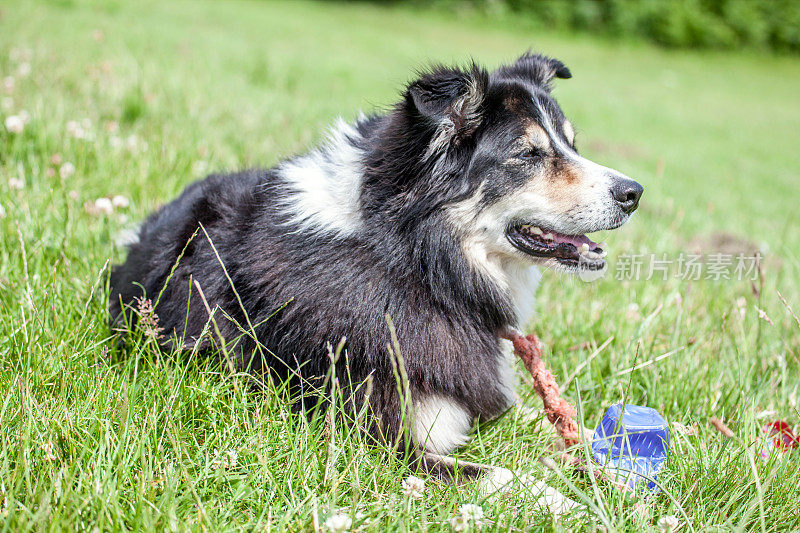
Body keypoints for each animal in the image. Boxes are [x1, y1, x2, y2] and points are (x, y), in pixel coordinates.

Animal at [108, 54, 644, 512]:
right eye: (527, 154)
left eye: (571, 143)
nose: (634, 193)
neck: (415, 263)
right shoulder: (375, 440)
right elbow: (504, 473)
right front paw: (570, 503)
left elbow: (560, 426)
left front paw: (623, 470)